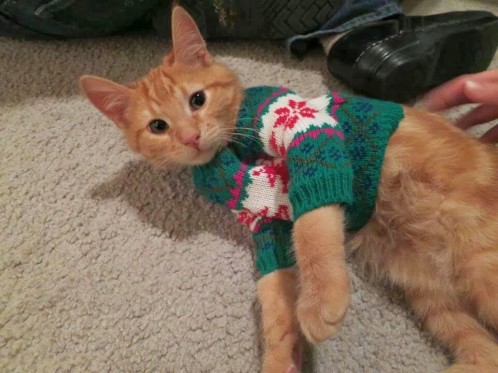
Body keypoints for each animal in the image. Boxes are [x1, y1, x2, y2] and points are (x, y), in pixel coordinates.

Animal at [79, 5, 498, 372]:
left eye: (198, 99)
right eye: (158, 127)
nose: (190, 137)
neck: (233, 150)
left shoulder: (304, 128)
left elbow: (312, 230)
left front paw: (320, 300)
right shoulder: (264, 218)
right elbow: (275, 295)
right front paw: (282, 357)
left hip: (480, 260)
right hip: (434, 299)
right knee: (485, 352)